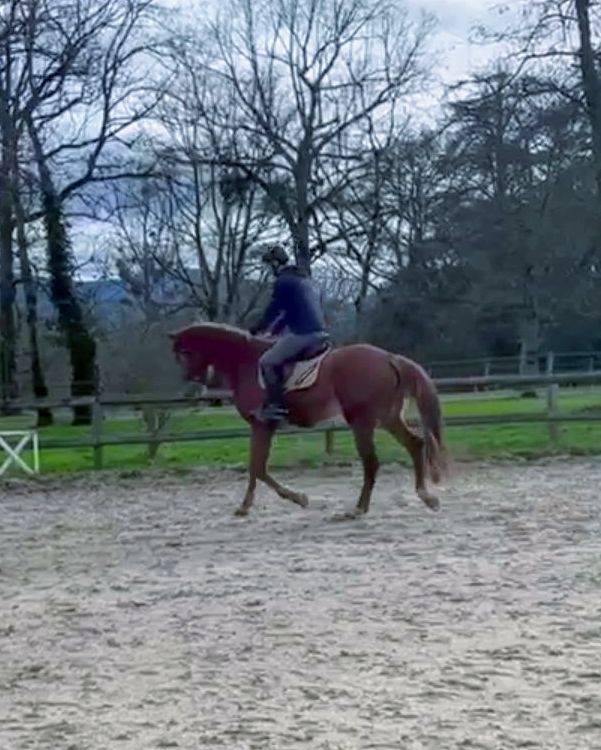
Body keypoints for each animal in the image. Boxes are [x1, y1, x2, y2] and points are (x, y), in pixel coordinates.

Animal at [171, 323, 448, 518]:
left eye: (185, 353)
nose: (190, 389)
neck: (245, 362)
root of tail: (389, 357)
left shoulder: (262, 425)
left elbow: (259, 468)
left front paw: (298, 499)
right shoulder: (259, 426)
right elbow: (254, 467)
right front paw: (244, 507)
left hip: (363, 422)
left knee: (372, 463)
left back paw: (358, 509)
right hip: (388, 418)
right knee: (415, 444)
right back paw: (427, 497)